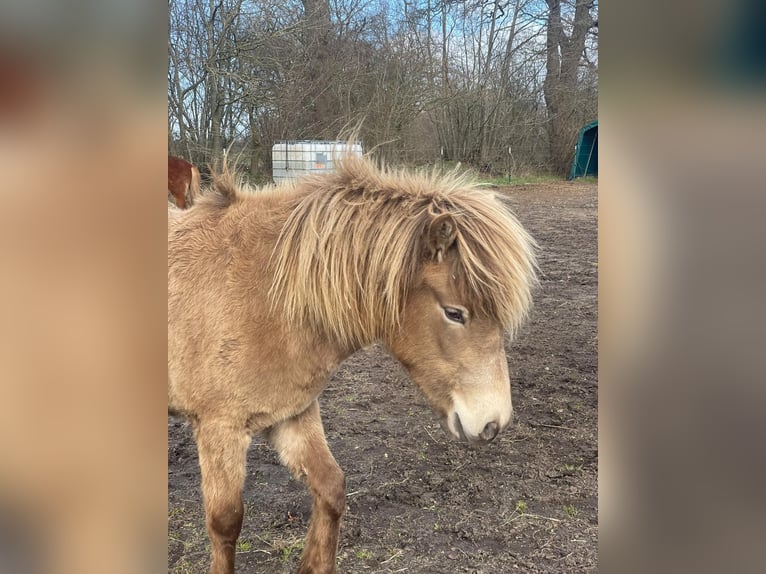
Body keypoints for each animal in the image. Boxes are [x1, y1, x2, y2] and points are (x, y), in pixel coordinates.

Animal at [168, 156, 538, 574]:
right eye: (454, 313)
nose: (494, 424)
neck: (264, 296)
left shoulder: (292, 414)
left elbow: (331, 488)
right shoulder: (220, 427)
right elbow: (225, 522)